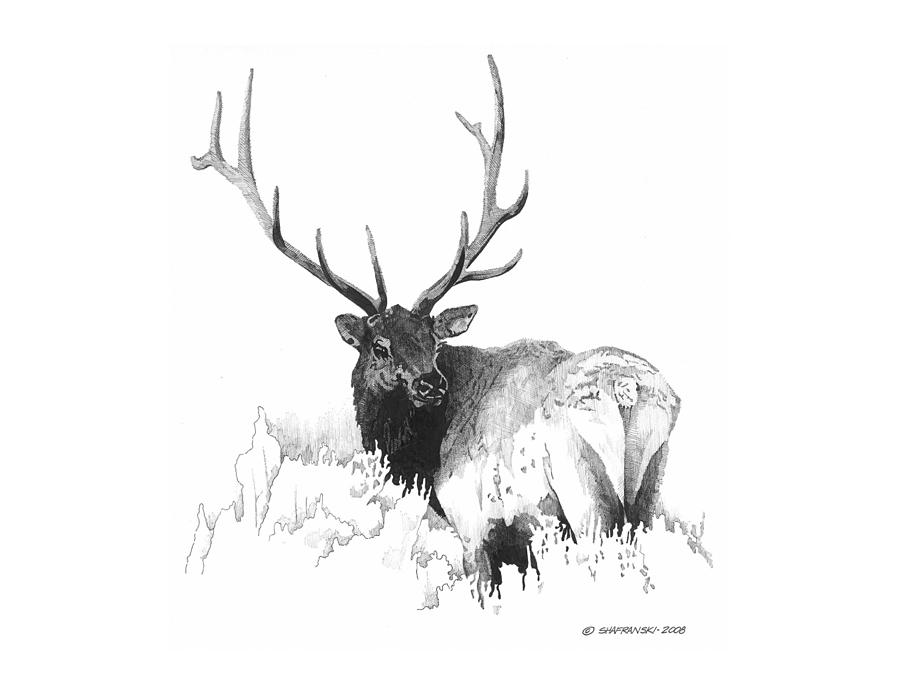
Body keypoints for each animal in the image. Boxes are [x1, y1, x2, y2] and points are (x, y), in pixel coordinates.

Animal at [191, 56, 681, 602]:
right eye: (380, 346)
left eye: (433, 341)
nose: (430, 383)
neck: (422, 463)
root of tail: (626, 390)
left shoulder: (478, 525)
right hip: (649, 494)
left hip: (587, 498)